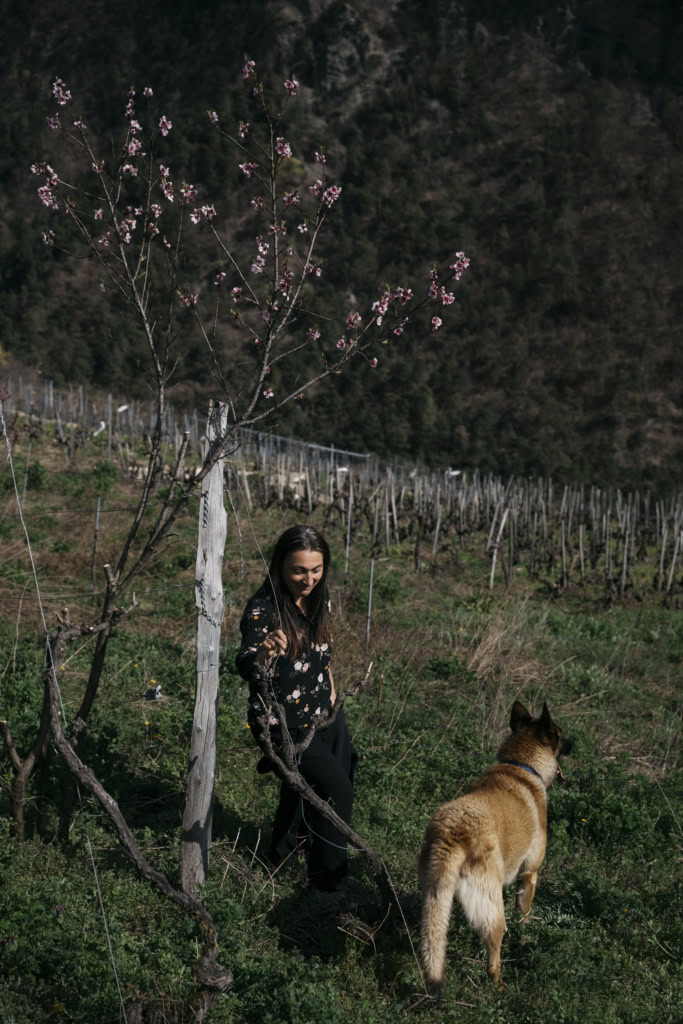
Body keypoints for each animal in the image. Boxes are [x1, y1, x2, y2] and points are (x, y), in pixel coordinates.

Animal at [417, 700, 573, 995]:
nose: (574, 744)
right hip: (493, 908)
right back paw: (498, 985)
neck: (523, 766)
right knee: (493, 953)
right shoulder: (529, 874)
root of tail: (453, 834)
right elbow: (524, 915)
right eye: (560, 734)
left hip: (435, 893)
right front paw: (525, 940)